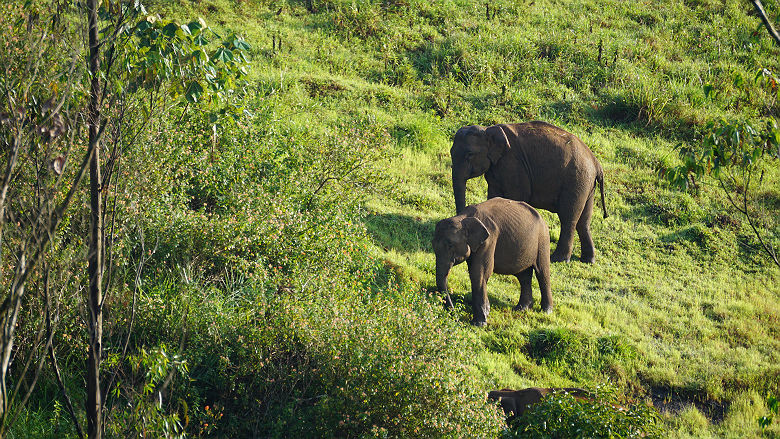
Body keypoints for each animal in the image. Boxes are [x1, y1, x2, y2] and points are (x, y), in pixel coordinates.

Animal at [432, 197, 556, 326]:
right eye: (432, 245)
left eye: (450, 245)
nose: (456, 317)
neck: (463, 218)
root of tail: (542, 218)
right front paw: (484, 316)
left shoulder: (489, 240)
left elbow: (479, 273)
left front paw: (479, 323)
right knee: (523, 276)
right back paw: (521, 309)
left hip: (543, 240)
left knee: (542, 273)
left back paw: (546, 311)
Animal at [450, 121, 608, 264]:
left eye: (470, 154)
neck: (488, 129)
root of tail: (596, 163)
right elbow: (494, 196)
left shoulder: (514, 165)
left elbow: (516, 196)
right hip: (587, 185)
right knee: (584, 221)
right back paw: (588, 260)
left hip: (576, 182)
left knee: (568, 218)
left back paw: (558, 259)